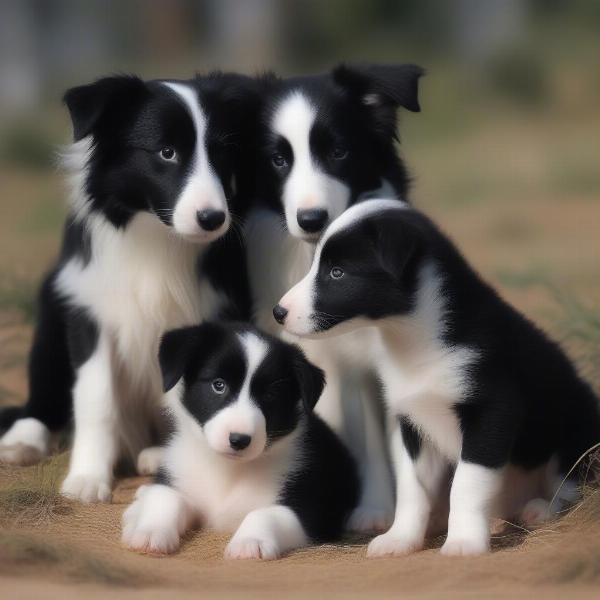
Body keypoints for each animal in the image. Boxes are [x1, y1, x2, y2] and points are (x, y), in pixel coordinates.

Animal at [0, 71, 255, 502]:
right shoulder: (89, 311)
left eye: (222, 154)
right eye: (167, 152)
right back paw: (23, 441)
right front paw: (87, 479)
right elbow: (95, 398)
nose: (213, 218)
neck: (155, 236)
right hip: (51, 314)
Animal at [119, 322, 358, 560]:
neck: (228, 469)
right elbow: (167, 497)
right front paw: (150, 532)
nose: (239, 440)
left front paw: (249, 542)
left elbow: (262, 513)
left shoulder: (310, 510)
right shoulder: (178, 474)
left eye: (270, 395)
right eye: (218, 385)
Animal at [246, 65, 424, 532]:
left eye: (339, 151)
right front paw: (375, 509)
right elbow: (372, 444)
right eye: (278, 160)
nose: (312, 219)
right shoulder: (348, 371)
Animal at [276, 199, 600, 556]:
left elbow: (466, 484)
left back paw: (541, 508)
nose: (279, 312)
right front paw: (401, 538)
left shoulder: (492, 412)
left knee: (570, 485)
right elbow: (412, 488)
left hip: (576, 429)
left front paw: (463, 542)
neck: (414, 340)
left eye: (337, 272)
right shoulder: (413, 421)